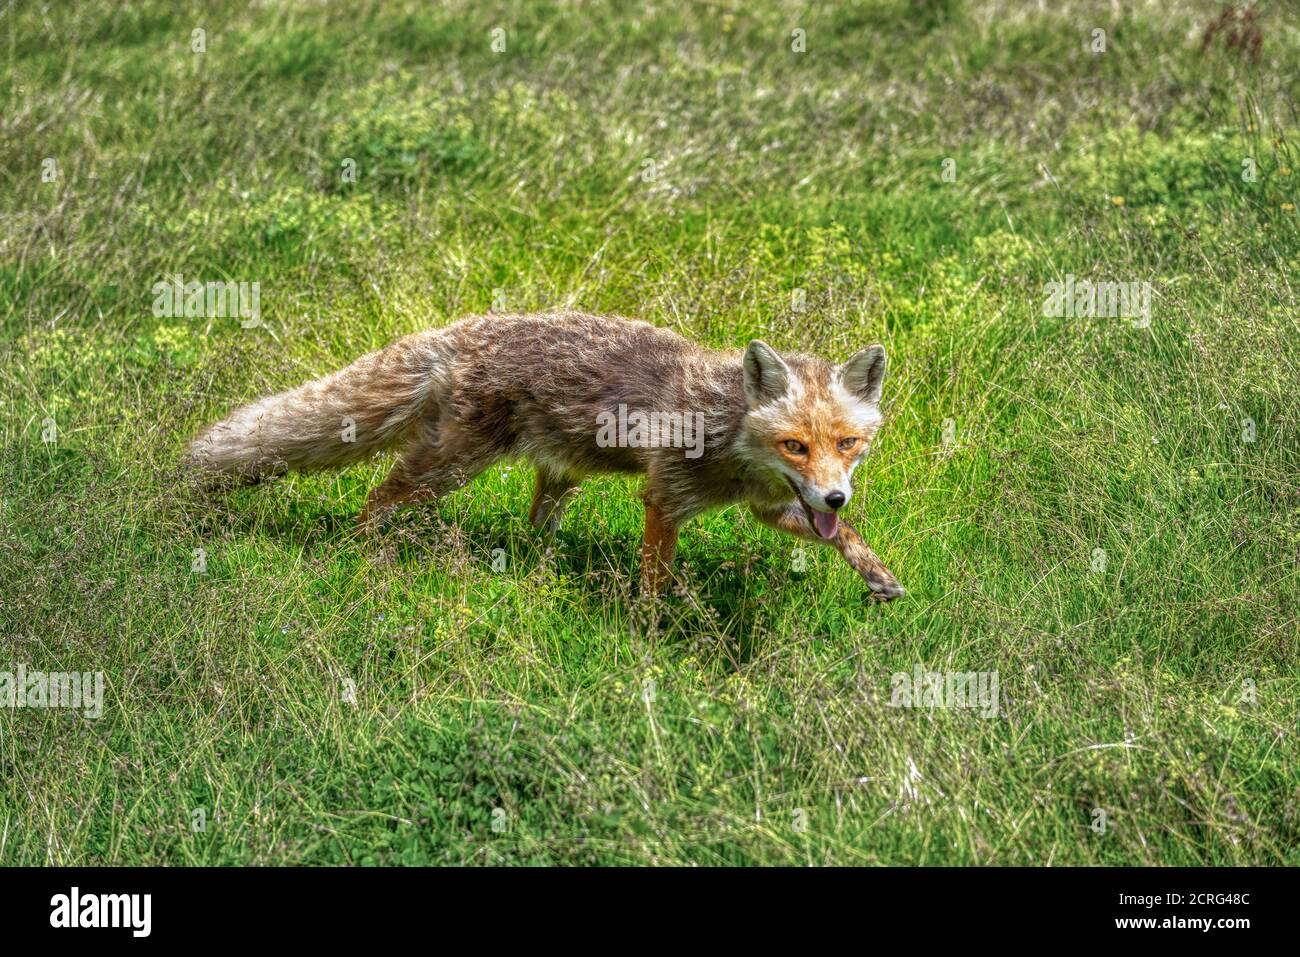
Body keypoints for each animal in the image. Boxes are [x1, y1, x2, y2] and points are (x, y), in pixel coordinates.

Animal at [189, 312, 904, 598]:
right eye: (795, 445)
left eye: (848, 444)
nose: (836, 493)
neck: (730, 435)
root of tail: (460, 329)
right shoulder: (666, 496)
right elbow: (655, 582)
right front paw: (649, 635)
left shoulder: (768, 507)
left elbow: (843, 537)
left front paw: (876, 574)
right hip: (450, 468)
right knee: (377, 498)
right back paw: (365, 559)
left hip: (557, 477)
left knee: (534, 528)